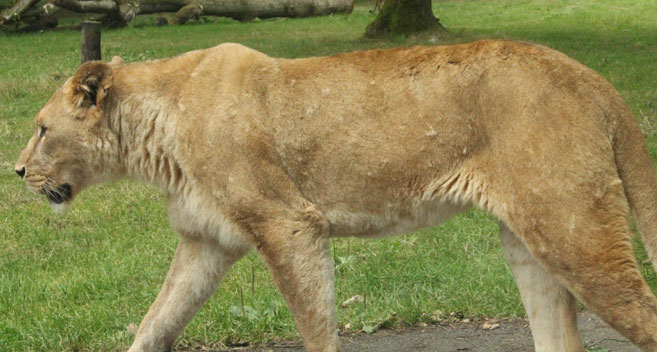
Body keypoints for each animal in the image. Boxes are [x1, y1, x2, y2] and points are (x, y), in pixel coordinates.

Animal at [15, 40, 657, 350]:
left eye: (43, 130)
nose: (18, 171)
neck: (154, 138)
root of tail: (594, 80)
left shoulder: (290, 223)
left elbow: (316, 326)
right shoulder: (206, 244)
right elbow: (154, 325)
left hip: (574, 231)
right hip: (530, 242)